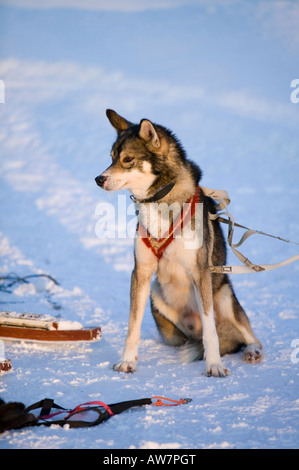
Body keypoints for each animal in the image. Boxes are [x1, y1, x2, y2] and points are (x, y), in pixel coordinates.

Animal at [95, 110, 262, 378]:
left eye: (128, 159)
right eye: (111, 158)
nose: (99, 179)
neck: (159, 200)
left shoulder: (201, 273)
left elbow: (211, 332)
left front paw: (214, 365)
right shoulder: (141, 272)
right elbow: (133, 326)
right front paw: (127, 360)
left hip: (223, 295)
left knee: (248, 336)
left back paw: (252, 351)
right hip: (156, 296)